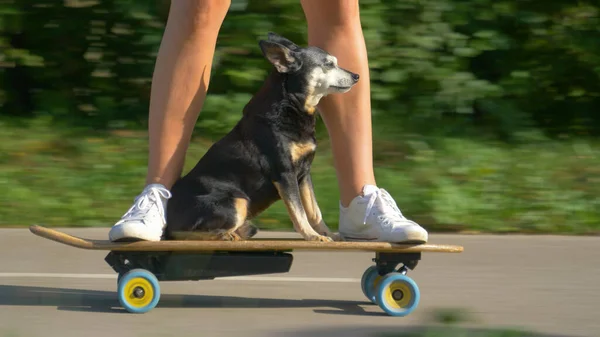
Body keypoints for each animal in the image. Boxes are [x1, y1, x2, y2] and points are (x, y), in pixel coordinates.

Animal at [164, 32, 358, 242]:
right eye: (328, 64)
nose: (356, 76)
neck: (290, 105)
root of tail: (169, 216)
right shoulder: (285, 173)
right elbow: (299, 212)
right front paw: (313, 236)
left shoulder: (304, 173)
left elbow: (314, 211)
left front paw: (327, 234)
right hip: (237, 201)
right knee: (181, 232)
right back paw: (225, 235)